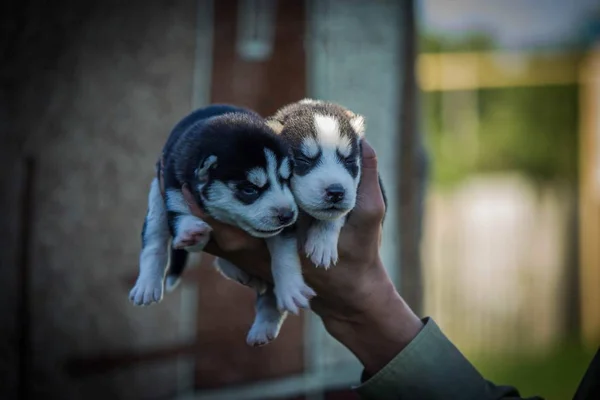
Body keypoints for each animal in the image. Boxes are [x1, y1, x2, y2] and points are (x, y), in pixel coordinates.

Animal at [126, 104, 314, 346]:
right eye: (249, 189)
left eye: (286, 180)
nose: (288, 215)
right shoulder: (172, 184)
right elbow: (179, 216)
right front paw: (191, 232)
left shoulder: (282, 231)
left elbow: (284, 257)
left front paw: (290, 289)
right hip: (156, 198)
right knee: (155, 240)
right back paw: (147, 285)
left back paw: (263, 325)